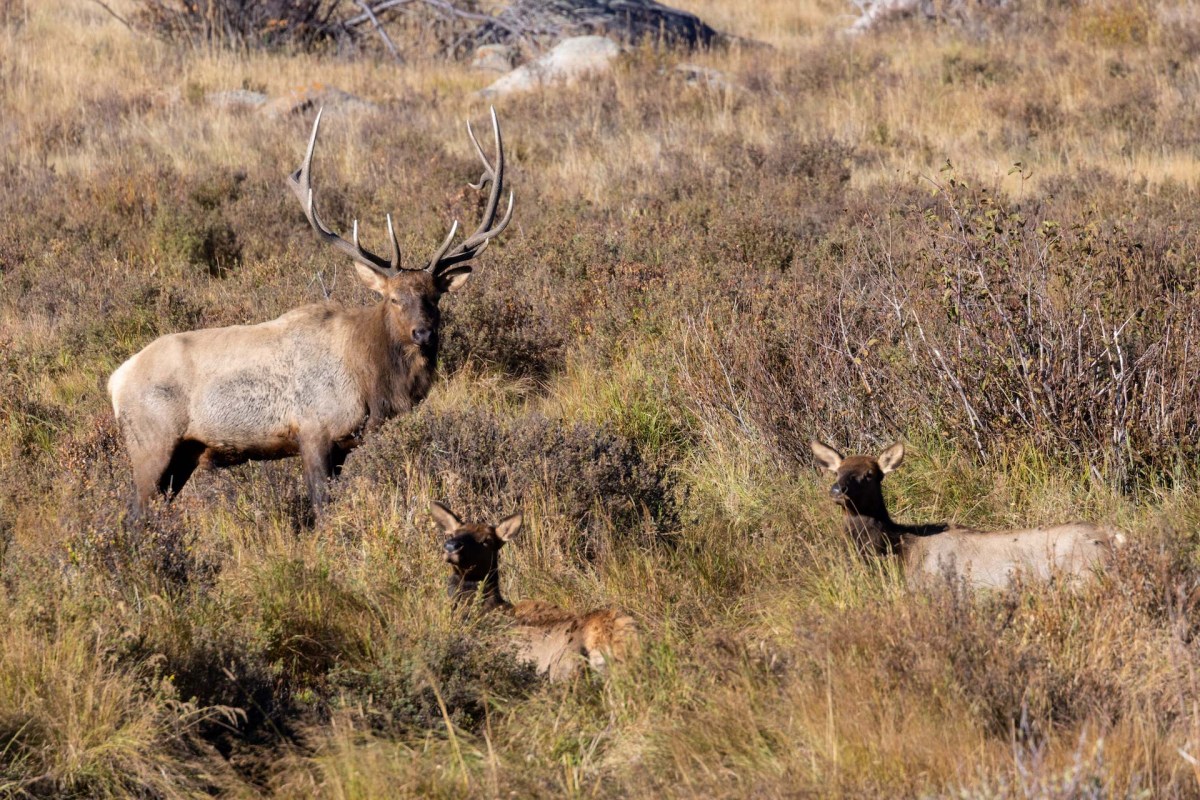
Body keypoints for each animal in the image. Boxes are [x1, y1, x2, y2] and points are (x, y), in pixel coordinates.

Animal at [106, 109, 511, 515]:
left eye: (435, 297)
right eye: (394, 299)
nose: (423, 332)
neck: (372, 381)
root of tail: (115, 381)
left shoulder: (344, 444)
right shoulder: (315, 428)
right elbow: (321, 504)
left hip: (185, 453)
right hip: (151, 443)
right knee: (135, 513)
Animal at [811, 441, 1118, 592]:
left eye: (870, 475)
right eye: (837, 471)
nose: (837, 490)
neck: (899, 550)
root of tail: (1114, 537)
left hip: (1084, 576)